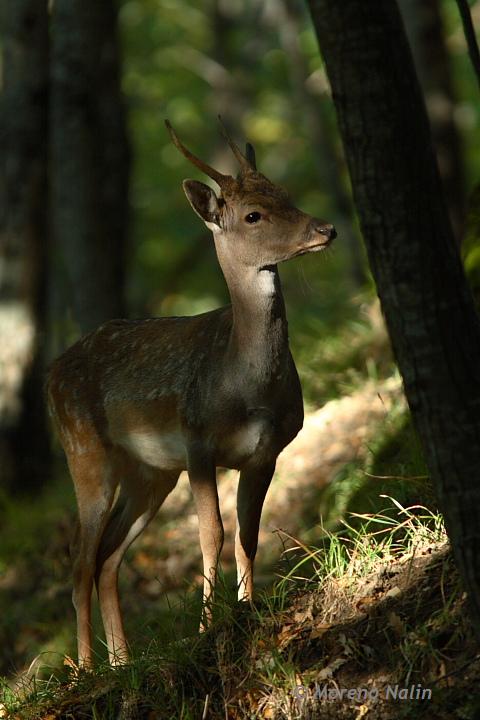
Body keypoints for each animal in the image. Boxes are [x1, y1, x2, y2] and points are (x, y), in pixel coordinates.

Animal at [47, 121, 336, 668]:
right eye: (253, 214)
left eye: (285, 194)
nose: (325, 229)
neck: (245, 387)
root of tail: (50, 374)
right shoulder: (198, 440)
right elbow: (212, 533)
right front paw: (207, 627)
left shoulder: (266, 453)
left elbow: (248, 533)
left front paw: (246, 609)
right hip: (85, 451)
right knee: (79, 559)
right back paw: (86, 671)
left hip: (153, 472)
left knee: (108, 556)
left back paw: (123, 662)